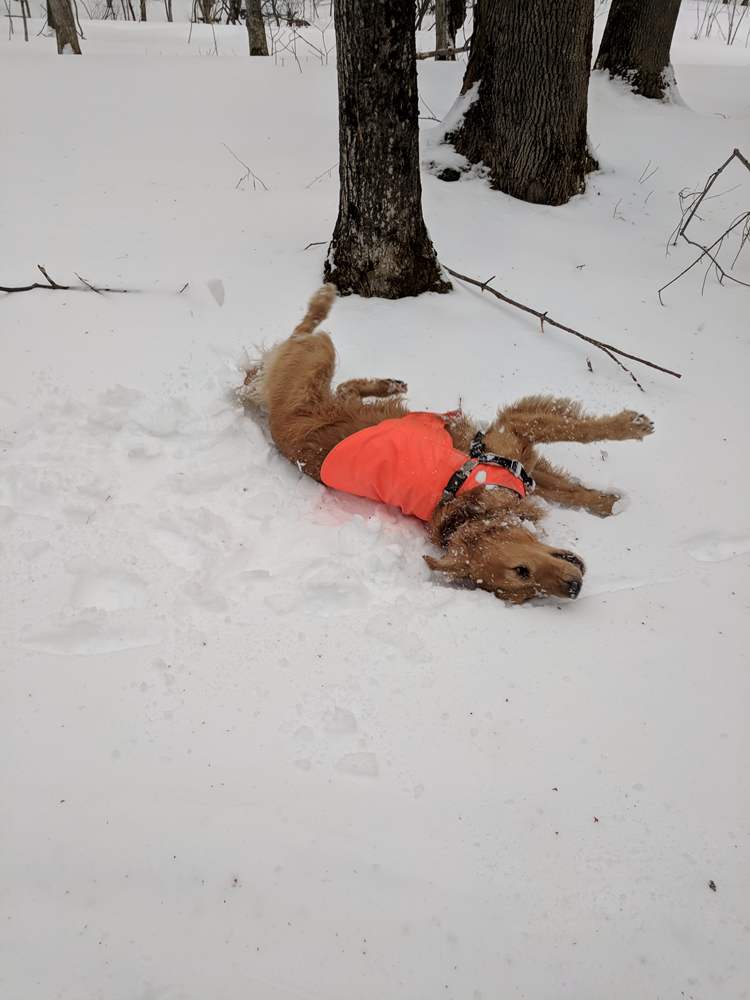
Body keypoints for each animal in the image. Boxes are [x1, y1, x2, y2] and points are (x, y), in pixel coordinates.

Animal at [238, 286, 656, 604]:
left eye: (522, 573)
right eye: (523, 584)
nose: (574, 588)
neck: (469, 506)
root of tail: (271, 414)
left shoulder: (516, 445)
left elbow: (577, 450)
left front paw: (620, 468)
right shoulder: (514, 446)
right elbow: (570, 456)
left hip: (317, 366)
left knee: (315, 351)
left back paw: (373, 367)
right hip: (310, 365)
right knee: (298, 343)